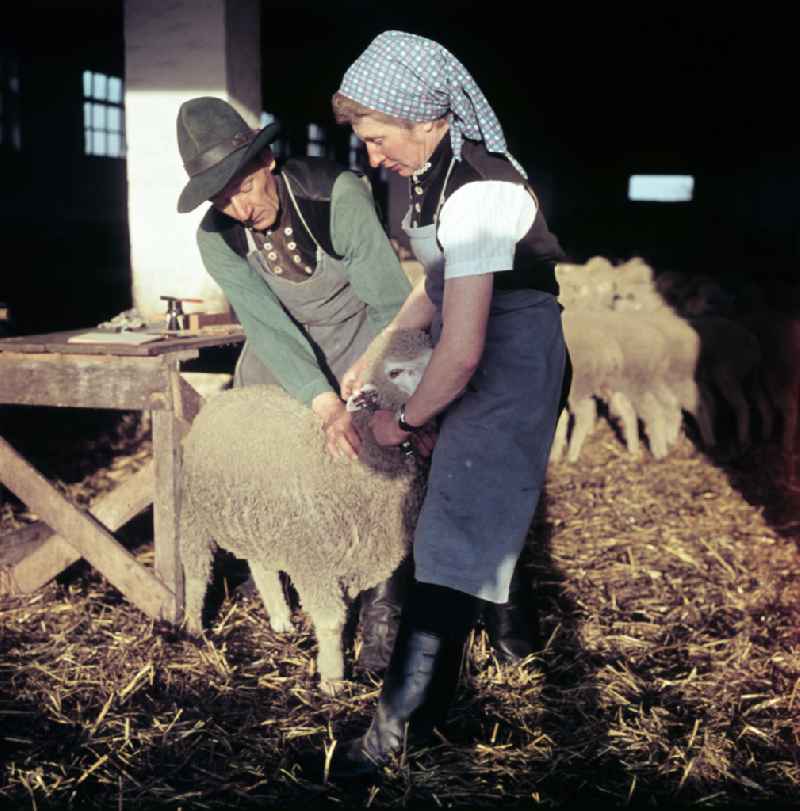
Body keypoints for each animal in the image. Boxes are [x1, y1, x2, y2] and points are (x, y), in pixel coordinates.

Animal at [179, 328, 434, 692]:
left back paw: (280, 617)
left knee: (262, 567)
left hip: (262, 519)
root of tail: (232, 394)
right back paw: (192, 626)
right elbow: (330, 621)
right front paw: (332, 678)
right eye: (395, 372)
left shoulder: (352, 555)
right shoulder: (315, 561)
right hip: (195, 513)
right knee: (196, 569)